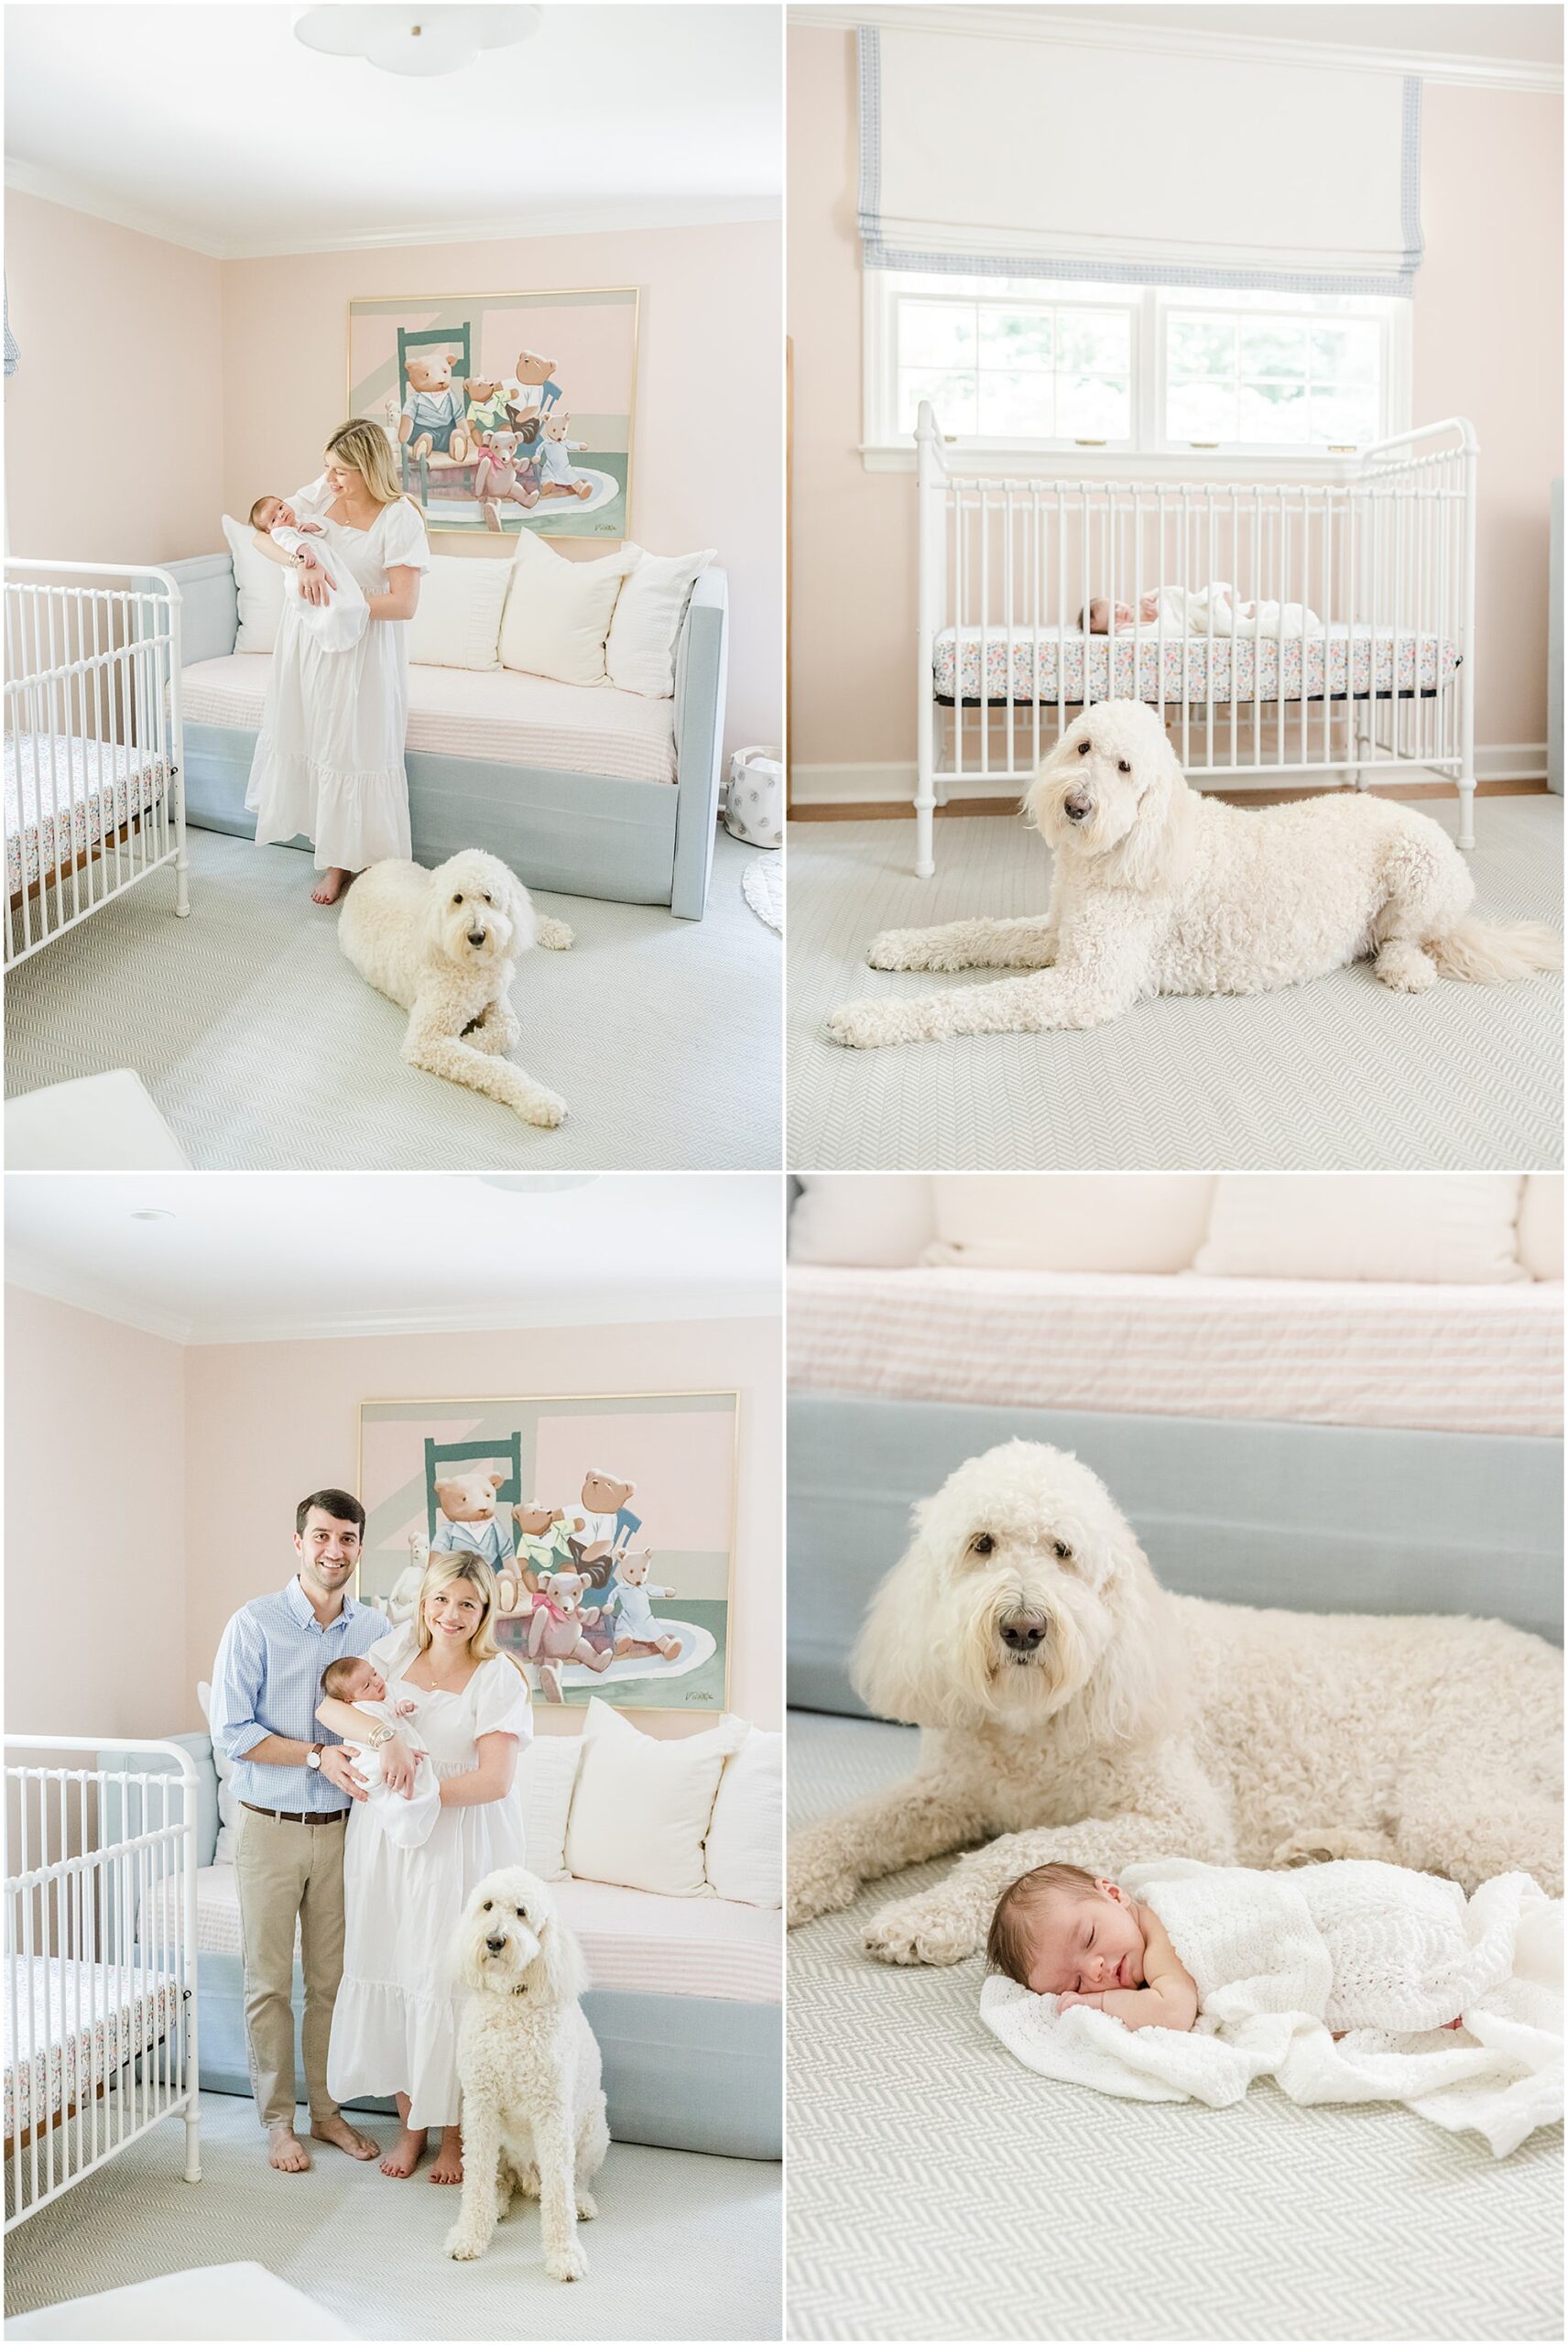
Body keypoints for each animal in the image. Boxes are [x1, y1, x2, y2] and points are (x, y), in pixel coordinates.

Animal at [337, 853, 573, 1125]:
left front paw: (471, 1040)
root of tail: (373, 868)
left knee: (531, 916)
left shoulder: (495, 997)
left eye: (488, 897)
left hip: (423, 877)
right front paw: (539, 1100)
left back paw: (557, 931)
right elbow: (491, 1064)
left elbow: (510, 1029)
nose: (477, 935)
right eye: (457, 898)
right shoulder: (426, 1040)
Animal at [445, 1866, 609, 2270]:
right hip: (484, 2135)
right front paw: (470, 2235)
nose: (494, 1941)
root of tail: (527, 2176)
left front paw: (565, 2254)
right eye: (487, 1906)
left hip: (594, 2130)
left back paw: (581, 2202)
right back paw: (497, 2203)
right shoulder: (481, 2106)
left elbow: (559, 2194)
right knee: (498, 2178)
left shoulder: (551, 2113)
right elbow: (476, 2181)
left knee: (576, 2179)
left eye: (521, 1912)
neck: (510, 2001)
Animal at [787, 1444, 1556, 1960]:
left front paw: (930, 1915)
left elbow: (1018, 1849)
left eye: (1063, 1550)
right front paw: (792, 1875)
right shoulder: (948, 1792)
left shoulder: (1180, 1821)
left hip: (1455, 1796)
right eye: (982, 1544)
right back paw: (1325, 1849)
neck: (1036, 1721)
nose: (1024, 1627)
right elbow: (854, 1825)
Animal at [824, 698, 1556, 1050]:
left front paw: (867, 1019)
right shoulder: (1058, 934)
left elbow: (969, 1001)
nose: (1076, 806)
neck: (1124, 849)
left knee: (1417, 939)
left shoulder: (1086, 984)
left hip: (1418, 873)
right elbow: (973, 931)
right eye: (1082, 747)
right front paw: (901, 946)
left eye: (1125, 769)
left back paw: (1404, 967)